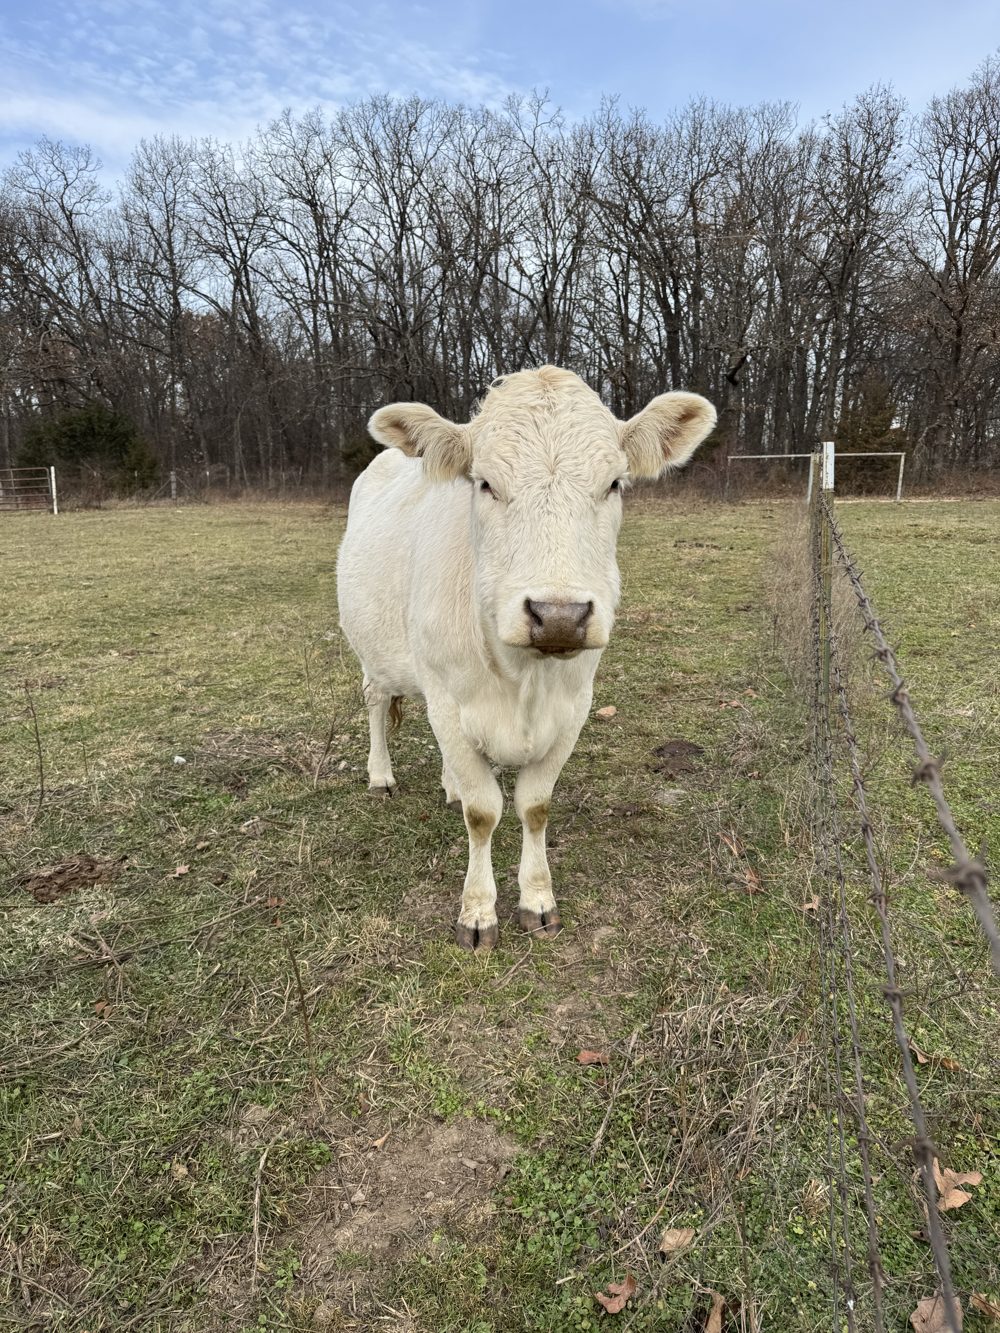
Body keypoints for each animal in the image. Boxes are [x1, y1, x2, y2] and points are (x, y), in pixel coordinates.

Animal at [336, 367, 716, 951]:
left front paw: (537, 900)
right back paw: (380, 776)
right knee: (376, 701)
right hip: (374, 652)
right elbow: (483, 812)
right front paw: (477, 912)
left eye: (614, 483)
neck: (523, 679)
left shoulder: (574, 707)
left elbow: (533, 806)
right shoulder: (449, 701)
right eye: (485, 483)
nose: (558, 615)